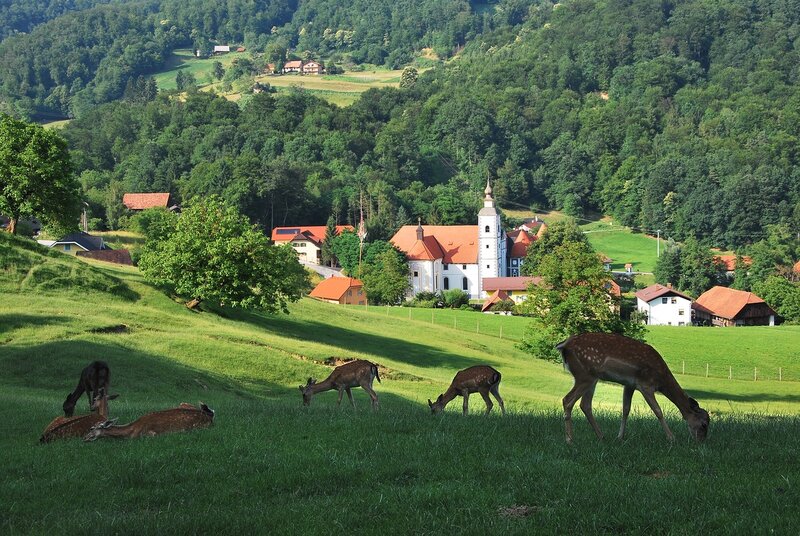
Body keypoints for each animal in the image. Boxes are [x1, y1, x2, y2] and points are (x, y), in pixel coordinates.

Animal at [556, 330, 712, 444]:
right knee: (567, 400)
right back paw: (569, 440)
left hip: (591, 378)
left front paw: (620, 437)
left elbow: (626, 409)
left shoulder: (629, 384)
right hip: (584, 375)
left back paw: (601, 436)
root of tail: (564, 345)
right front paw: (671, 438)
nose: (701, 441)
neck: (661, 380)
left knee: (585, 404)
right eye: (704, 424)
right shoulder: (646, 384)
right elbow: (658, 411)